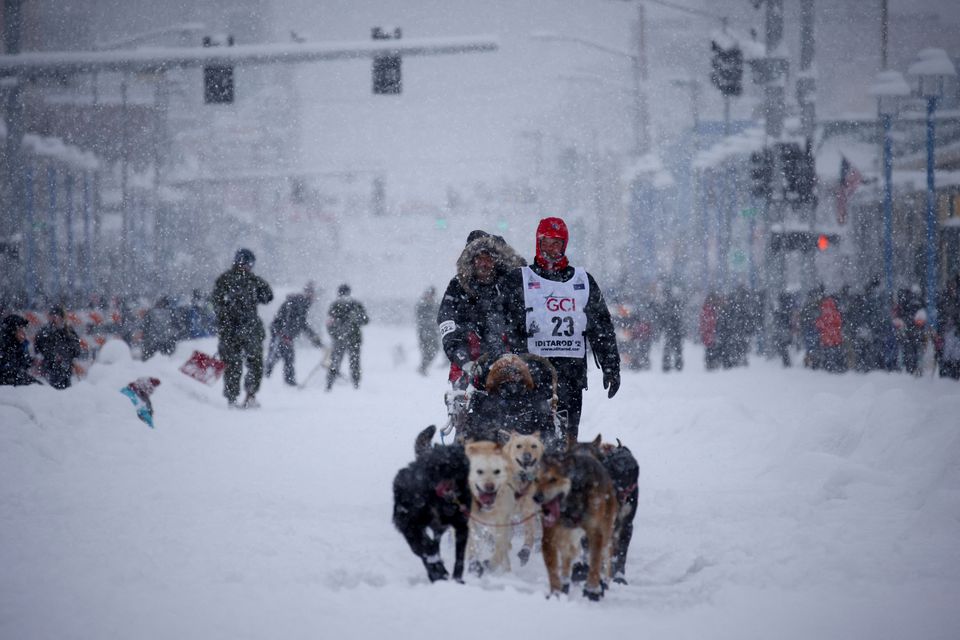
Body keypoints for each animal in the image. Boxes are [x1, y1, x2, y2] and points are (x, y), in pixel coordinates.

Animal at [392, 422, 470, 584]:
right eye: (435, 465)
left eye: (455, 466)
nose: (441, 485)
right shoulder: (410, 525)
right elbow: (427, 549)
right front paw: (438, 569)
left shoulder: (462, 525)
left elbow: (459, 558)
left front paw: (457, 580)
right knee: (425, 549)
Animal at [464, 440, 516, 576]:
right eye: (479, 471)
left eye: (496, 471)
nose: (489, 486)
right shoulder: (469, 520)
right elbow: (472, 545)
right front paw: (473, 565)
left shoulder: (502, 520)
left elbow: (499, 548)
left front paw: (490, 565)